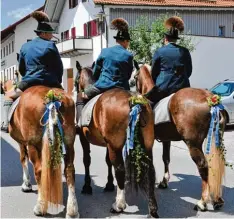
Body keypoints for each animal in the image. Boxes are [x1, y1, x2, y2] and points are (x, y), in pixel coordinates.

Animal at [4, 85, 79, 217]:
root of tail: (52, 99)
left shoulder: (22, 142)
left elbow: (23, 159)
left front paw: (26, 184)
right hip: (69, 143)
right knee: (69, 170)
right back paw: (72, 211)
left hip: (34, 145)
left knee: (39, 170)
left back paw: (40, 206)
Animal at [77, 62, 159, 217]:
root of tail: (134, 100)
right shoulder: (107, 143)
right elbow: (107, 162)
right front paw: (109, 185)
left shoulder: (85, 139)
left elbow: (86, 160)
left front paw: (87, 186)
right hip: (147, 145)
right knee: (151, 171)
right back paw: (152, 209)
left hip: (115, 146)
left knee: (120, 169)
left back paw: (119, 205)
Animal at [133, 64, 227, 211]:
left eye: (136, 76)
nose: (132, 84)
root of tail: (211, 100)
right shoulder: (166, 139)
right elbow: (166, 158)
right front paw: (164, 181)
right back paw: (217, 200)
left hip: (193, 144)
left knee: (203, 165)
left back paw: (202, 202)